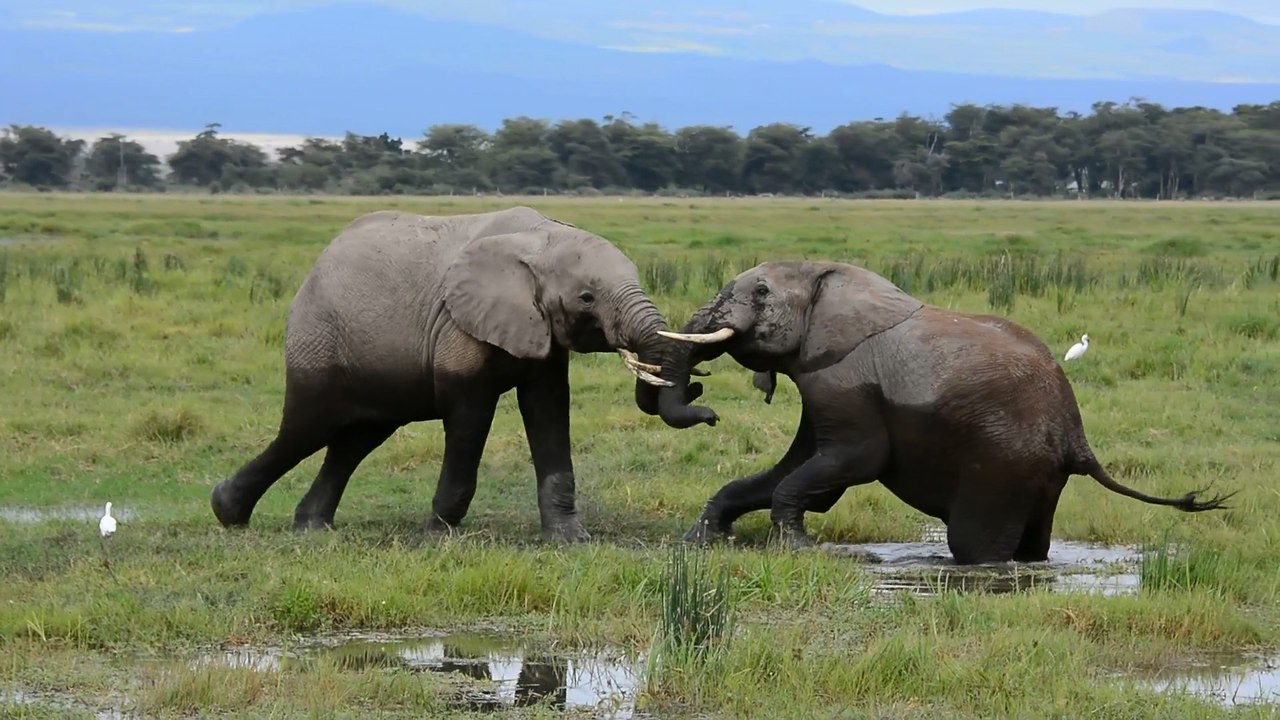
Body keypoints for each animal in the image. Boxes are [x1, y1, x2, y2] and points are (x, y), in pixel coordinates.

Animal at [210, 206, 717, 542]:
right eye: (587, 297)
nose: (703, 397)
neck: (540, 238)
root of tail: (317, 264)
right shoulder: (458, 326)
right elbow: (470, 416)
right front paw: (438, 536)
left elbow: (549, 408)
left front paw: (570, 540)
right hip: (318, 342)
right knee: (304, 429)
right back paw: (226, 511)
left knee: (354, 440)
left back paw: (312, 527)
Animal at [652, 260, 1234, 564]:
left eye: (760, 292)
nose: (705, 403)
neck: (829, 279)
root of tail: (1077, 438)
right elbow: (796, 467)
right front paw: (704, 540)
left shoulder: (842, 377)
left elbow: (851, 462)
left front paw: (801, 550)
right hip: (1039, 474)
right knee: (1034, 542)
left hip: (1003, 464)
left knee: (973, 542)